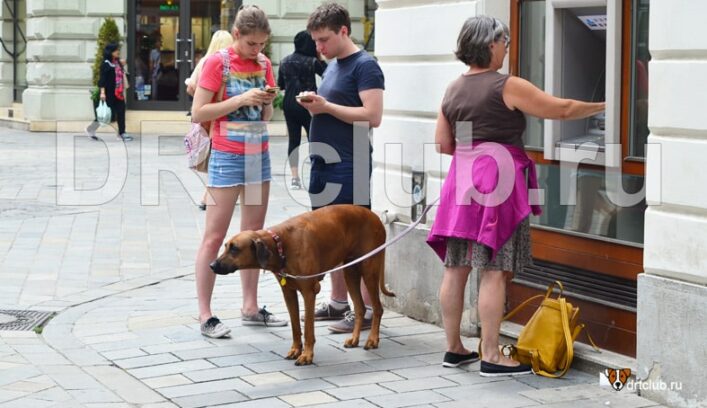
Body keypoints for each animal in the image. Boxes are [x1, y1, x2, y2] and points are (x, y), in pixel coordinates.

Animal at [210, 206, 398, 364]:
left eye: (234, 249)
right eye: (225, 246)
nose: (212, 265)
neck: (280, 244)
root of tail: (375, 216)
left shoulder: (309, 292)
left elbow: (307, 328)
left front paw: (307, 355)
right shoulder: (288, 292)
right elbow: (295, 326)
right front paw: (295, 350)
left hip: (369, 270)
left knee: (377, 308)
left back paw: (372, 339)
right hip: (350, 272)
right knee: (360, 308)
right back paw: (354, 339)